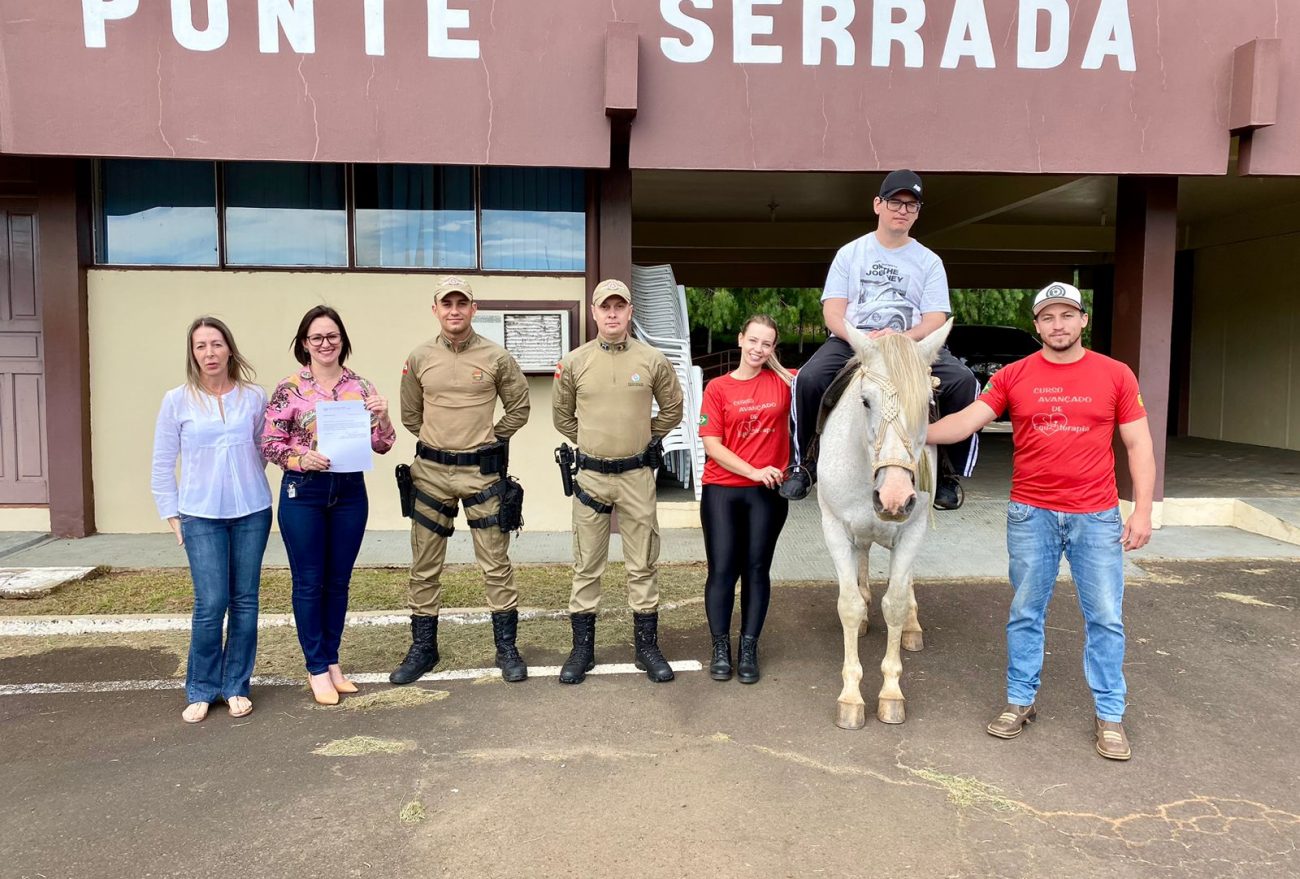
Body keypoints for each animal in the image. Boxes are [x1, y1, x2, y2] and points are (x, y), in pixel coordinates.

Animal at [816, 319, 951, 733]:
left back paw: (911, 624)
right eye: (865, 401)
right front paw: (850, 698)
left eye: (928, 405)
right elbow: (847, 605)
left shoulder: (912, 530)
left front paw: (891, 693)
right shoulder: (835, 528)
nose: (893, 497)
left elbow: (895, 602)